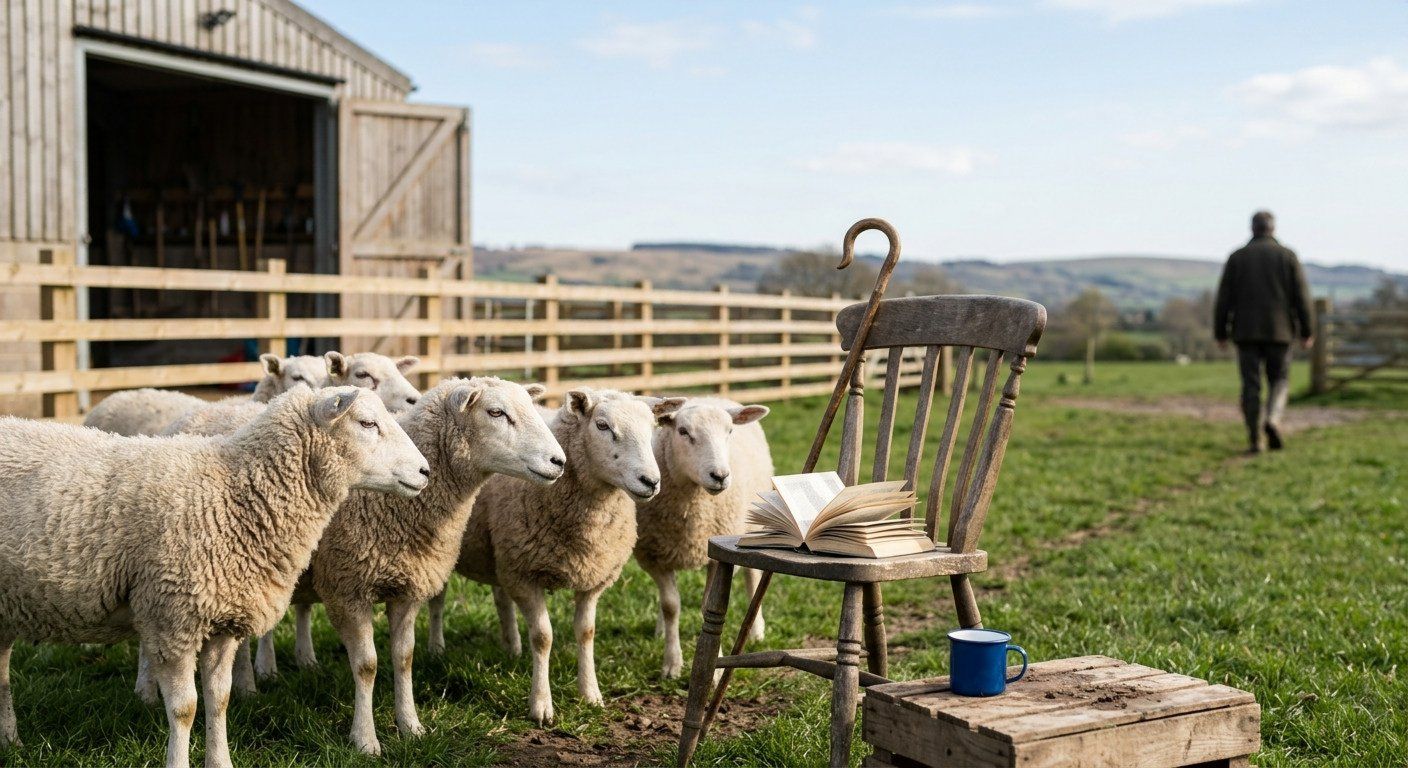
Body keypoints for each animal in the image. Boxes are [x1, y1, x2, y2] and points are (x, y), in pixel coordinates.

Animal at [0, 386, 429, 768]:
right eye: (367, 423)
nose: (425, 471)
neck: (234, 494)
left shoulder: (222, 620)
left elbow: (218, 700)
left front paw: (220, 761)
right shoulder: (173, 619)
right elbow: (185, 708)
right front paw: (178, 762)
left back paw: (9, 740)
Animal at [451, 389, 684, 725]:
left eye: (652, 427)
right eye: (602, 426)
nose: (650, 481)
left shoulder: (593, 576)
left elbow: (586, 633)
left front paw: (590, 694)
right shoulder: (523, 574)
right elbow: (543, 637)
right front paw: (541, 705)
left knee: (500, 596)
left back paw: (511, 647)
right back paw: (436, 648)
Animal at [633, 398, 773, 678]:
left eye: (730, 431)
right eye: (683, 431)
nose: (720, 476)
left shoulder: (717, 557)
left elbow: (710, 607)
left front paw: (715, 670)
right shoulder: (653, 556)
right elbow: (670, 606)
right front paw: (672, 663)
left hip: (750, 523)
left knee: (752, 576)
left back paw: (756, 632)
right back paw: (660, 630)